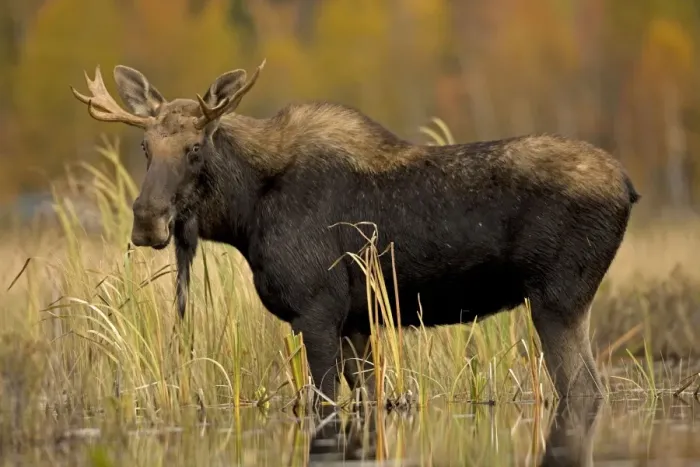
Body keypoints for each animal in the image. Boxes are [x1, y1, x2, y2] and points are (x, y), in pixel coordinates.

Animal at [70, 60, 640, 405]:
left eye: (194, 147)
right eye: (144, 147)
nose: (147, 220)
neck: (246, 214)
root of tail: (630, 187)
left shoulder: (316, 310)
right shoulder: (356, 320)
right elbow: (367, 400)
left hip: (557, 299)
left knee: (584, 390)